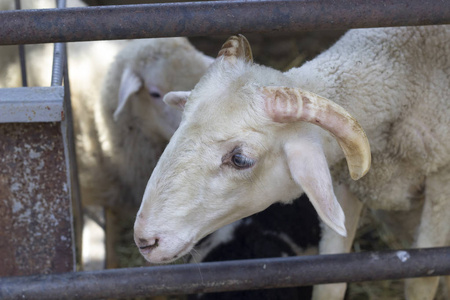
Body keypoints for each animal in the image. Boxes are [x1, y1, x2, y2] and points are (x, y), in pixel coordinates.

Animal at [135, 25, 450, 300]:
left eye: (240, 159)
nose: (145, 240)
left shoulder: (440, 182)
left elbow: (422, 281)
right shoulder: (345, 185)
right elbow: (331, 281)